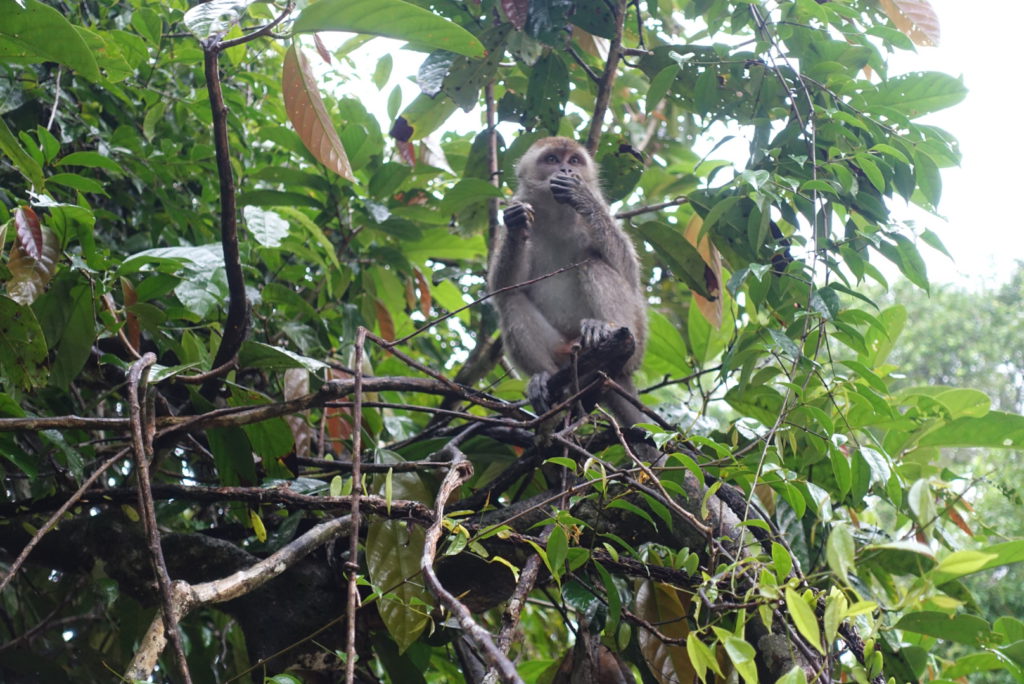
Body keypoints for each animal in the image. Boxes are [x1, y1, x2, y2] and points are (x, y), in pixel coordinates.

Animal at [485, 137, 647, 440]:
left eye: (574, 161)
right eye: (551, 159)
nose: (566, 171)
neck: (558, 215)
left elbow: (629, 272)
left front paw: (581, 195)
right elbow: (503, 287)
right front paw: (515, 223)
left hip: (636, 346)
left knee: (594, 263)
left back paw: (604, 329)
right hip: (561, 351)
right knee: (511, 300)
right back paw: (547, 383)